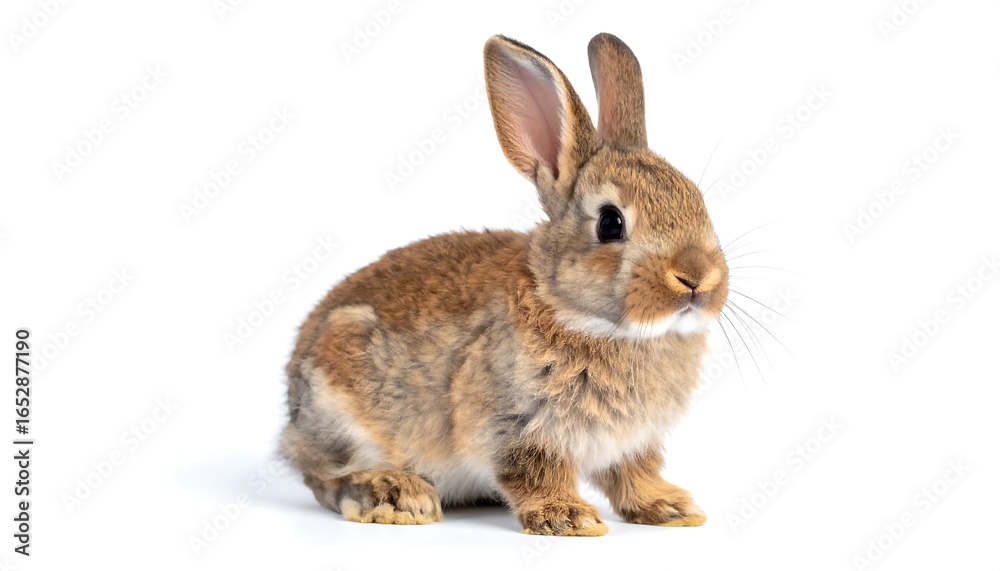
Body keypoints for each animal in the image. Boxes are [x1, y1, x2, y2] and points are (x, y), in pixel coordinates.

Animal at [281, 32, 728, 536]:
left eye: (698, 202)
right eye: (610, 223)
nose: (698, 278)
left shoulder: (632, 443)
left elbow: (633, 474)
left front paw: (671, 508)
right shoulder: (513, 425)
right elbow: (534, 472)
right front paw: (569, 518)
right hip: (339, 411)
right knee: (323, 475)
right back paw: (395, 495)